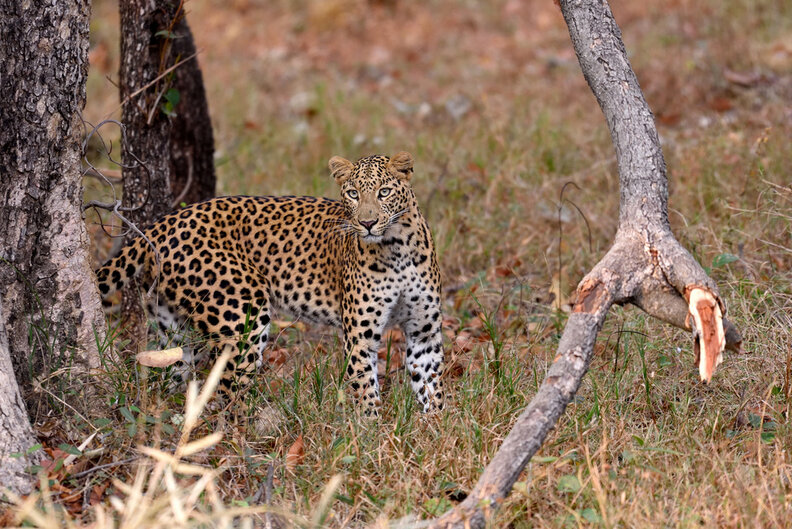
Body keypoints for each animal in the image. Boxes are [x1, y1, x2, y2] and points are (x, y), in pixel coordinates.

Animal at [96, 152, 445, 415]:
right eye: (353, 194)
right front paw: (370, 436)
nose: (368, 222)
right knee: (228, 392)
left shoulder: (424, 331)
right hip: (241, 316)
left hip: (176, 328)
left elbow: (432, 385)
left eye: (384, 192)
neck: (396, 248)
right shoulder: (361, 336)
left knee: (172, 374)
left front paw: (435, 429)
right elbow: (365, 390)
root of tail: (163, 223)